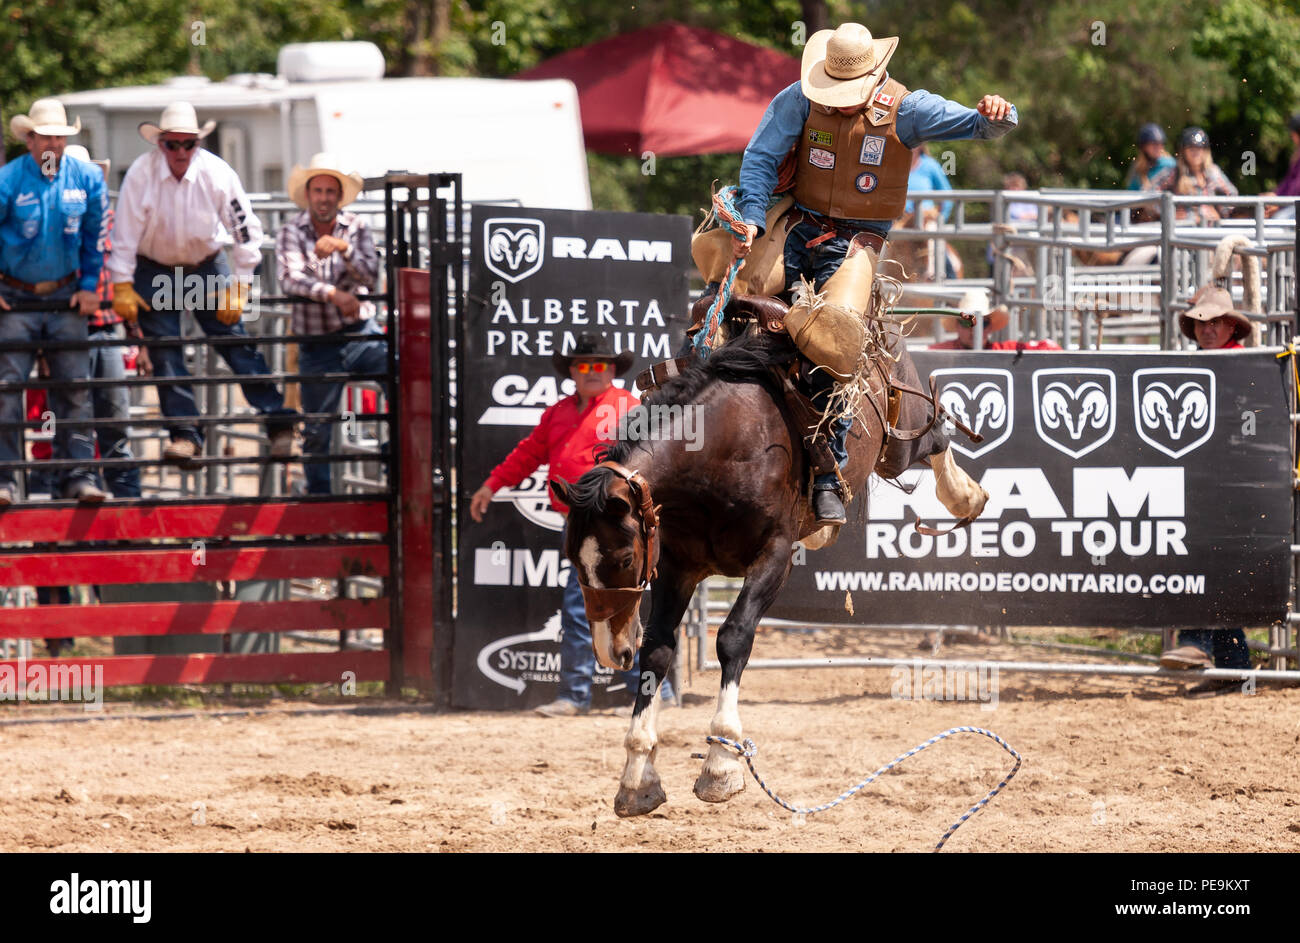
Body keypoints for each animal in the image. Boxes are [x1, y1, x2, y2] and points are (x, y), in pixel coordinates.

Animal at [553, 312, 987, 811]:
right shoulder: (678, 568)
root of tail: (887, 326)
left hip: (897, 443)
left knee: (936, 432)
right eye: (573, 559)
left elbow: (733, 637)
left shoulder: (775, 557)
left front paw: (721, 764)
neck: (720, 452)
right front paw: (638, 775)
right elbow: (659, 648)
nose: (610, 651)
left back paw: (965, 494)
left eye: (624, 557)